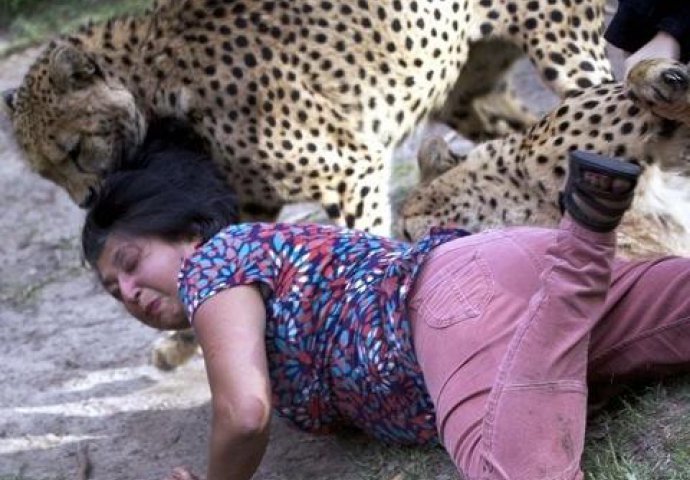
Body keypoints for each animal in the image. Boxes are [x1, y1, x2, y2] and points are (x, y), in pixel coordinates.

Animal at [1, 0, 613, 370]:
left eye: (75, 150)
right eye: (48, 172)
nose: (86, 199)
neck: (155, 86)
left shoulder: (352, 167)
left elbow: (364, 245)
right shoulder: (252, 199)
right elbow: (210, 262)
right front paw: (181, 342)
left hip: (567, 53)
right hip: (466, 95)